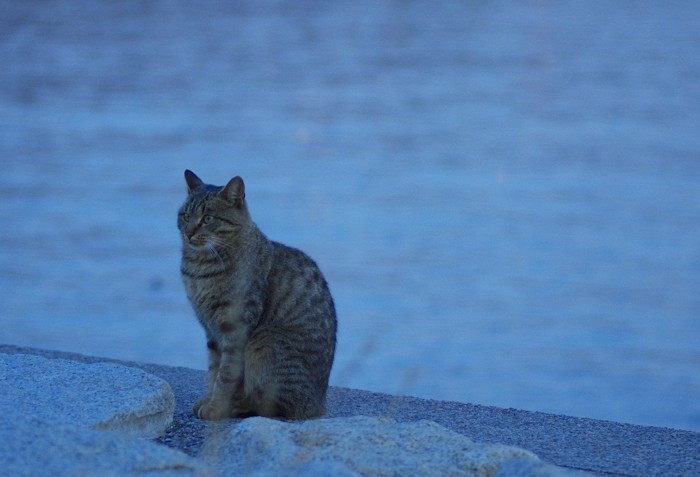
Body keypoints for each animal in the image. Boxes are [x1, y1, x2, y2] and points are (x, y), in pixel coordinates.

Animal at [178, 169, 336, 418]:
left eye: (208, 219)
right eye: (185, 216)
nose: (188, 233)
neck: (200, 267)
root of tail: (318, 404)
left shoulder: (235, 328)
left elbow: (225, 375)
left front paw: (216, 407)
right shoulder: (211, 331)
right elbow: (213, 371)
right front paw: (208, 399)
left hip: (264, 341)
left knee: (270, 405)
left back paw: (236, 406)